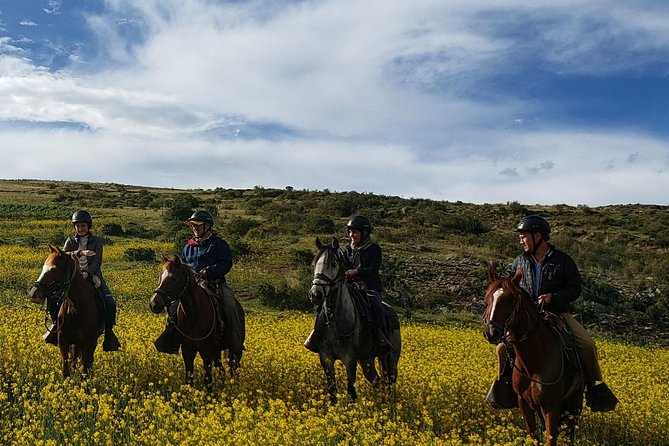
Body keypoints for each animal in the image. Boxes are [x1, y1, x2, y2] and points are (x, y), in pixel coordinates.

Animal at [28, 246, 104, 378]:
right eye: (43, 267)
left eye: (53, 269)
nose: (34, 294)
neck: (77, 311)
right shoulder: (63, 341)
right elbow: (66, 369)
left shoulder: (89, 342)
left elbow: (84, 369)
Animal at [149, 254, 245, 386]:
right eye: (159, 277)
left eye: (173, 278)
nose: (154, 303)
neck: (193, 314)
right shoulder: (187, 350)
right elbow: (189, 379)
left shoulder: (207, 351)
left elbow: (208, 380)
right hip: (217, 350)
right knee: (221, 369)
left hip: (232, 349)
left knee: (233, 367)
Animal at [310, 239, 402, 402]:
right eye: (314, 263)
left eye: (333, 264)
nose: (316, 295)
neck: (334, 320)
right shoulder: (326, 359)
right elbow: (332, 392)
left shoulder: (350, 360)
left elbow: (351, 393)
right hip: (367, 360)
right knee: (378, 382)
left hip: (391, 360)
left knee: (389, 385)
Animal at [480, 264, 584, 446]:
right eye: (487, 298)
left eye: (510, 299)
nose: (491, 332)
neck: (533, 362)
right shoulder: (525, 404)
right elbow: (533, 436)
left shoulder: (551, 406)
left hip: (575, 404)